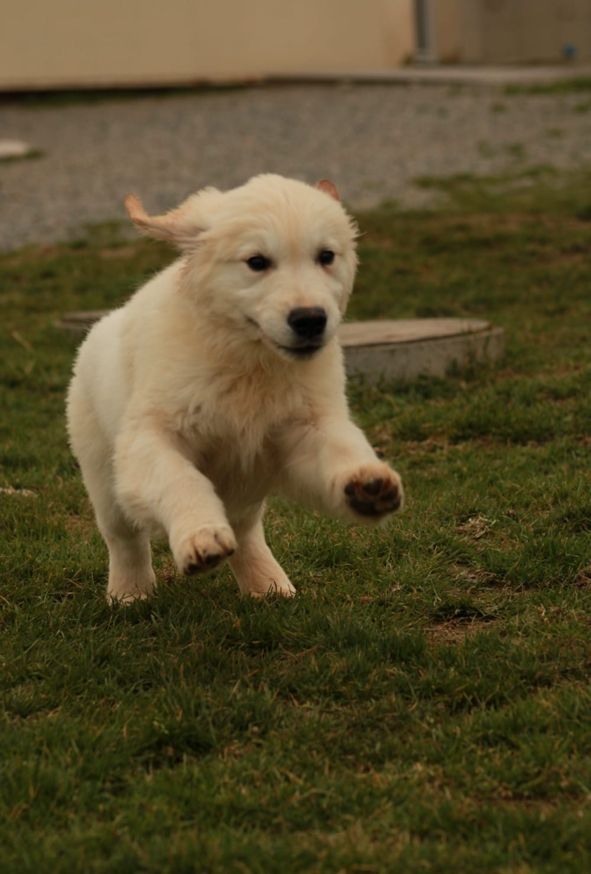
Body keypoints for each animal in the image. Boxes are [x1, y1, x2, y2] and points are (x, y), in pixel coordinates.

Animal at [67, 174, 404, 604]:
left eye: (326, 256)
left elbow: (338, 449)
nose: (310, 320)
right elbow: (179, 479)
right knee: (123, 537)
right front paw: (201, 536)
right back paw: (130, 594)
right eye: (257, 262)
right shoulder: (150, 436)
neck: (248, 358)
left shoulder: (304, 425)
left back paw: (268, 584)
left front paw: (367, 485)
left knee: (245, 532)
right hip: (100, 468)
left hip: (246, 484)